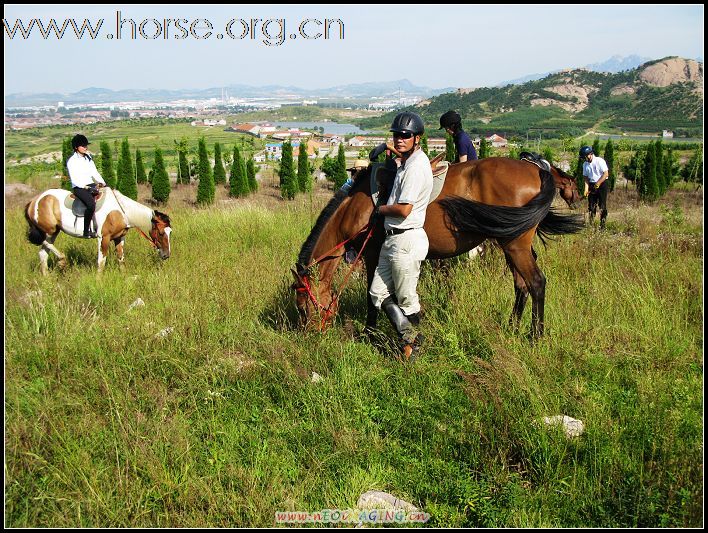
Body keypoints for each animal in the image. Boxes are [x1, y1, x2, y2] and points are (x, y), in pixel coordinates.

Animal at [24, 187, 171, 276]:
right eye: (161, 233)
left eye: (170, 232)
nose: (166, 255)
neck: (120, 212)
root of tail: (33, 201)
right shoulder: (103, 238)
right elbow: (101, 262)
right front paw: (99, 282)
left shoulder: (120, 237)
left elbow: (121, 258)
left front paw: (125, 277)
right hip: (48, 230)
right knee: (40, 241)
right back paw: (62, 259)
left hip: (54, 232)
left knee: (43, 253)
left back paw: (47, 278)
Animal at [292, 156, 580, 338]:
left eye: (303, 308)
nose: (309, 335)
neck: (356, 207)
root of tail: (538, 170)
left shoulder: (373, 254)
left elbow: (372, 297)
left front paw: (370, 332)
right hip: (510, 244)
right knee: (521, 285)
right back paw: (512, 326)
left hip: (515, 245)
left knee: (536, 283)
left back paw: (535, 336)